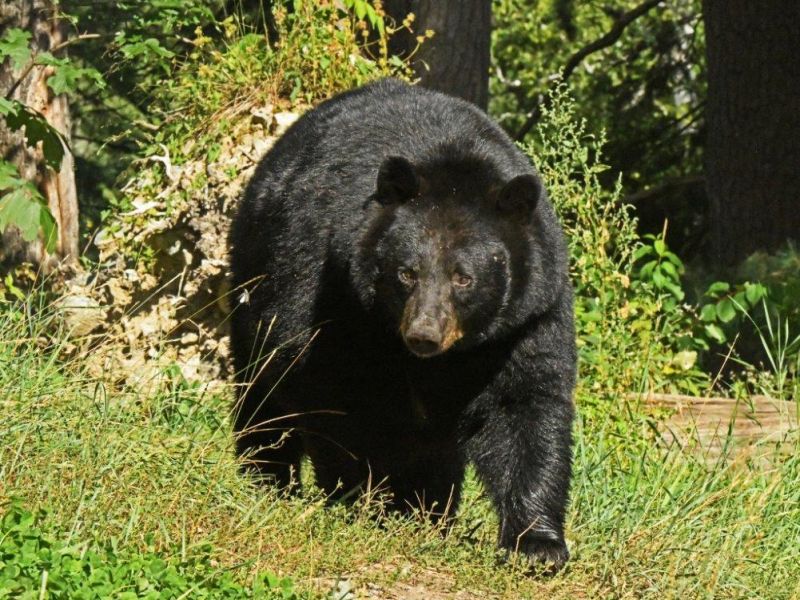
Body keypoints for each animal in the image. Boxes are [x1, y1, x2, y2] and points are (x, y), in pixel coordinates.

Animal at [228, 79, 576, 569]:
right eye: (407, 272)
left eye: (463, 277)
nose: (423, 334)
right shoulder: (336, 294)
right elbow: (334, 394)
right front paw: (360, 499)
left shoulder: (528, 316)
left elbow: (526, 404)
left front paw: (537, 545)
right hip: (255, 277)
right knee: (265, 392)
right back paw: (270, 478)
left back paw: (429, 511)